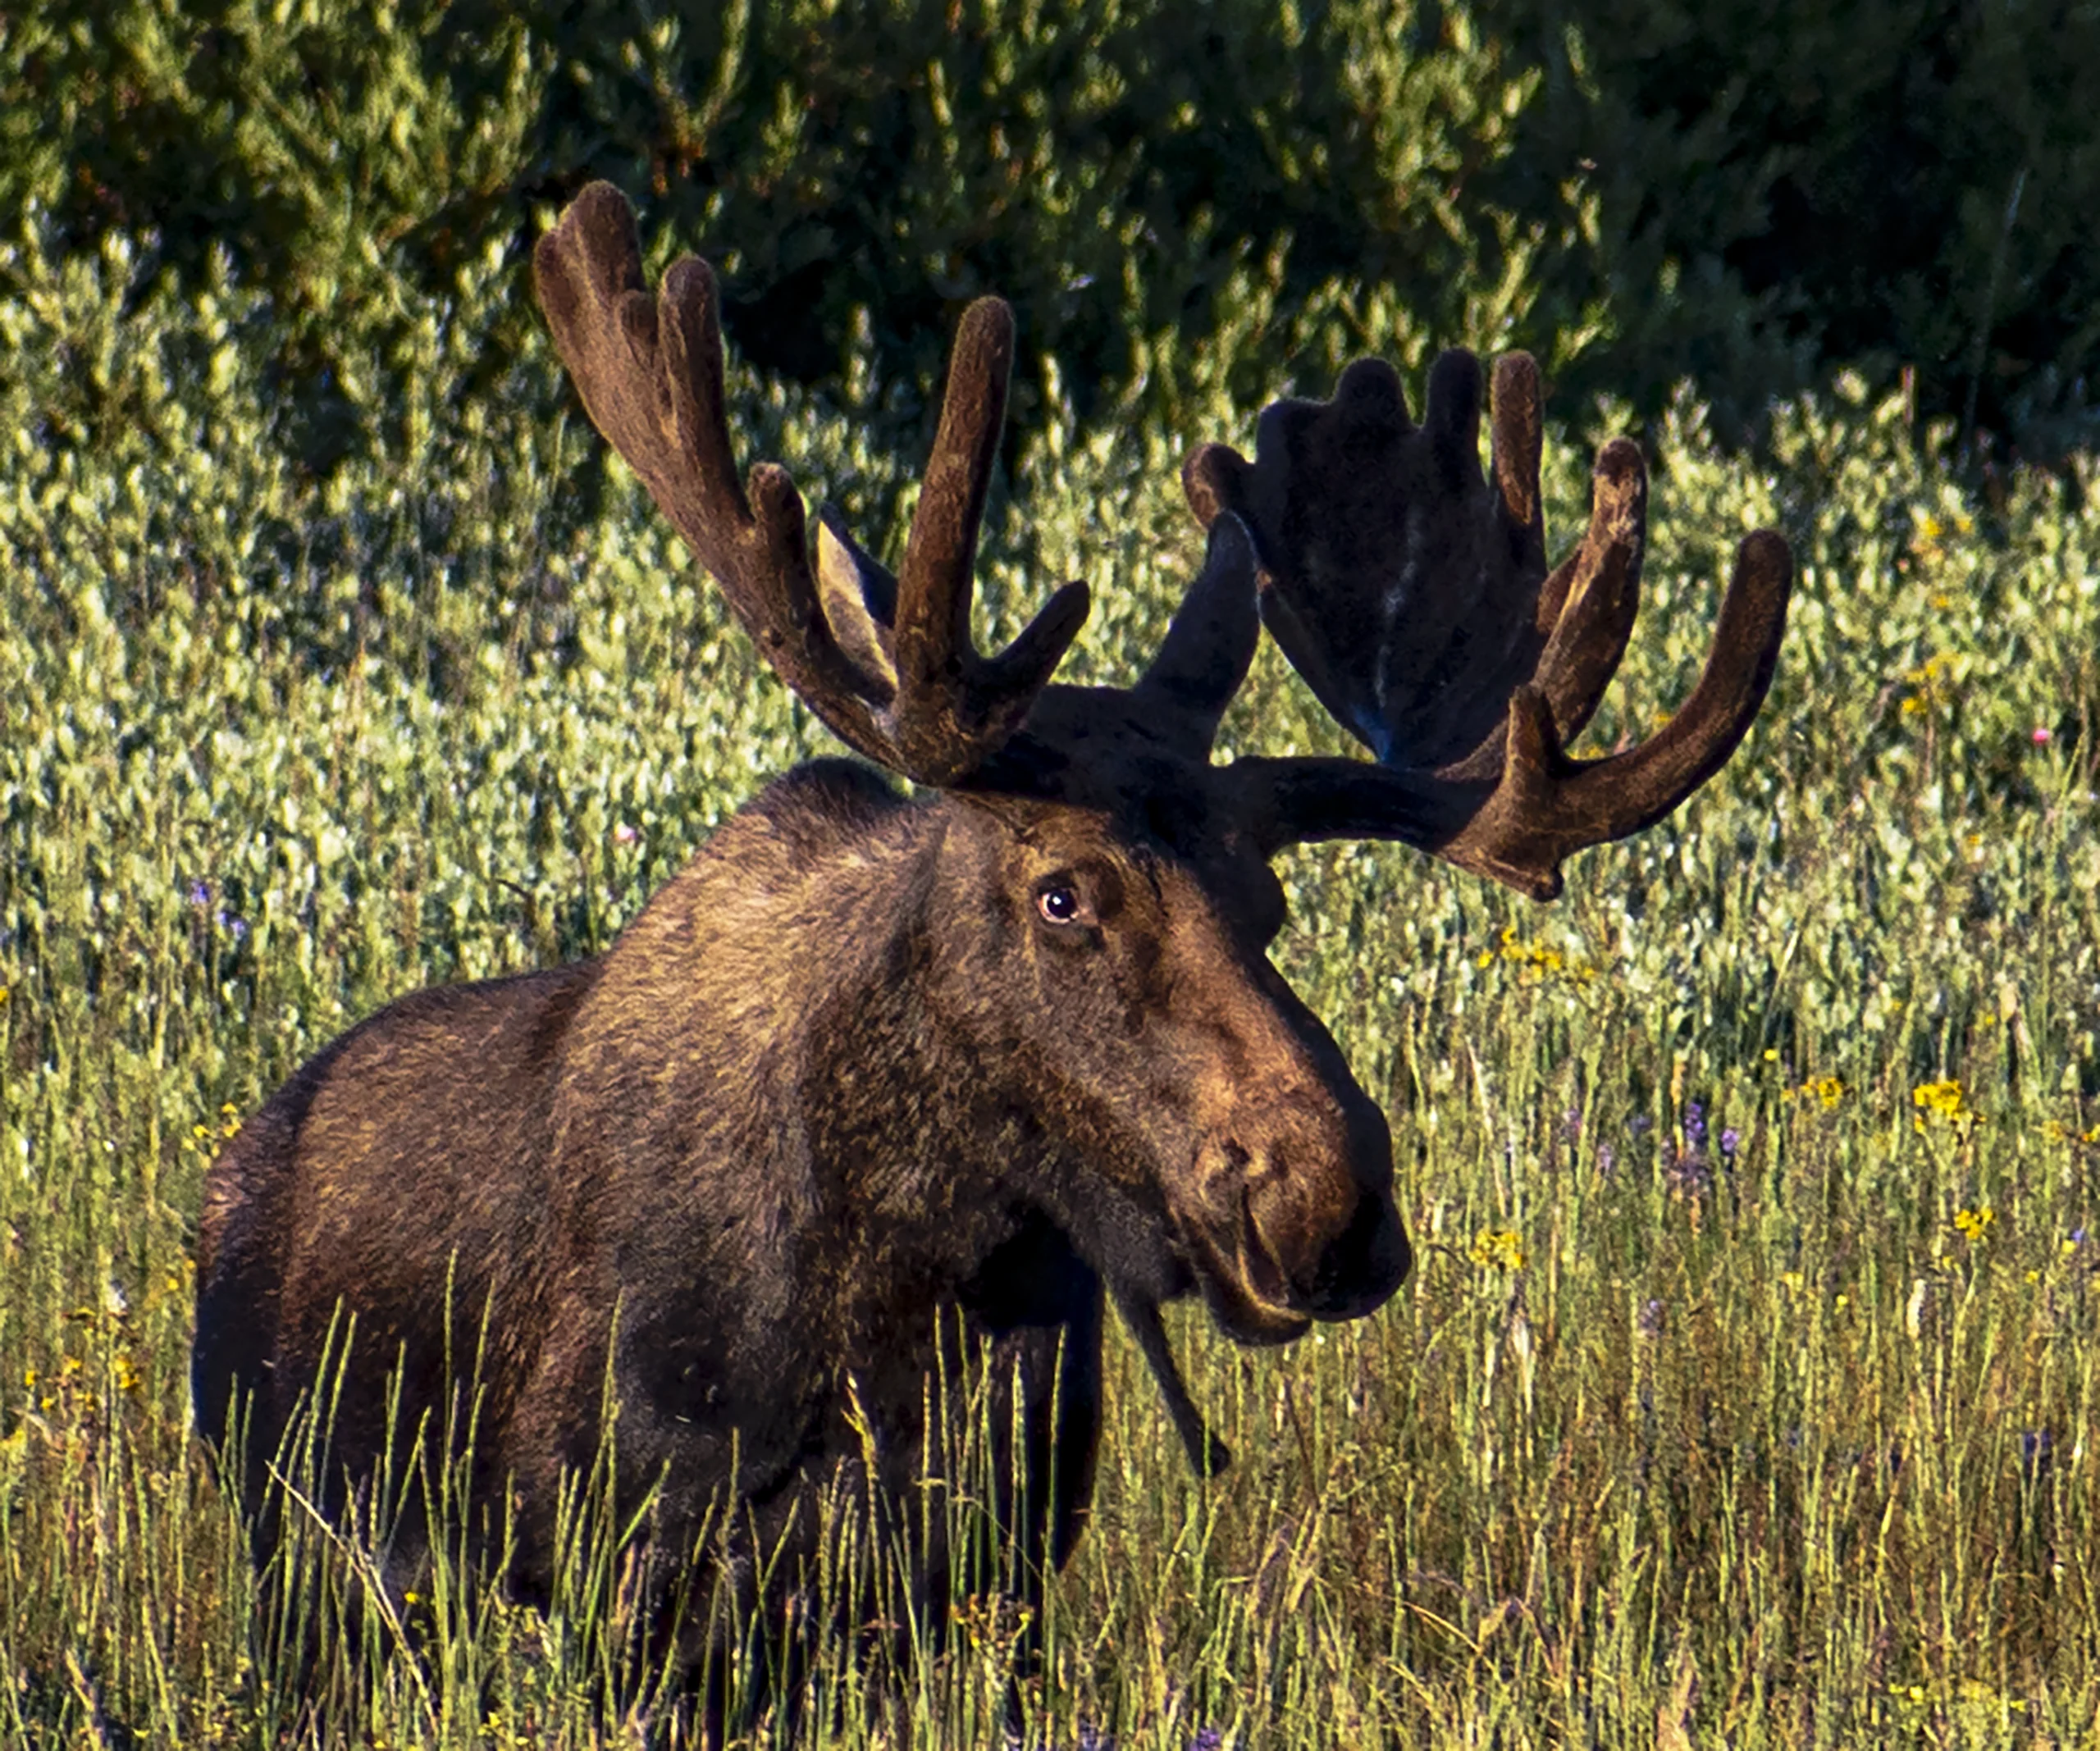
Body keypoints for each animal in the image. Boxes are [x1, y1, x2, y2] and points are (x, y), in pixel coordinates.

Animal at [190, 181, 1791, 1732]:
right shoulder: (631, 1569)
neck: (910, 1270)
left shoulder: (990, 1576)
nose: (1325, 1204)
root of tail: (236, 1170)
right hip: (306, 1569)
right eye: (1065, 894)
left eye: (1270, 903)